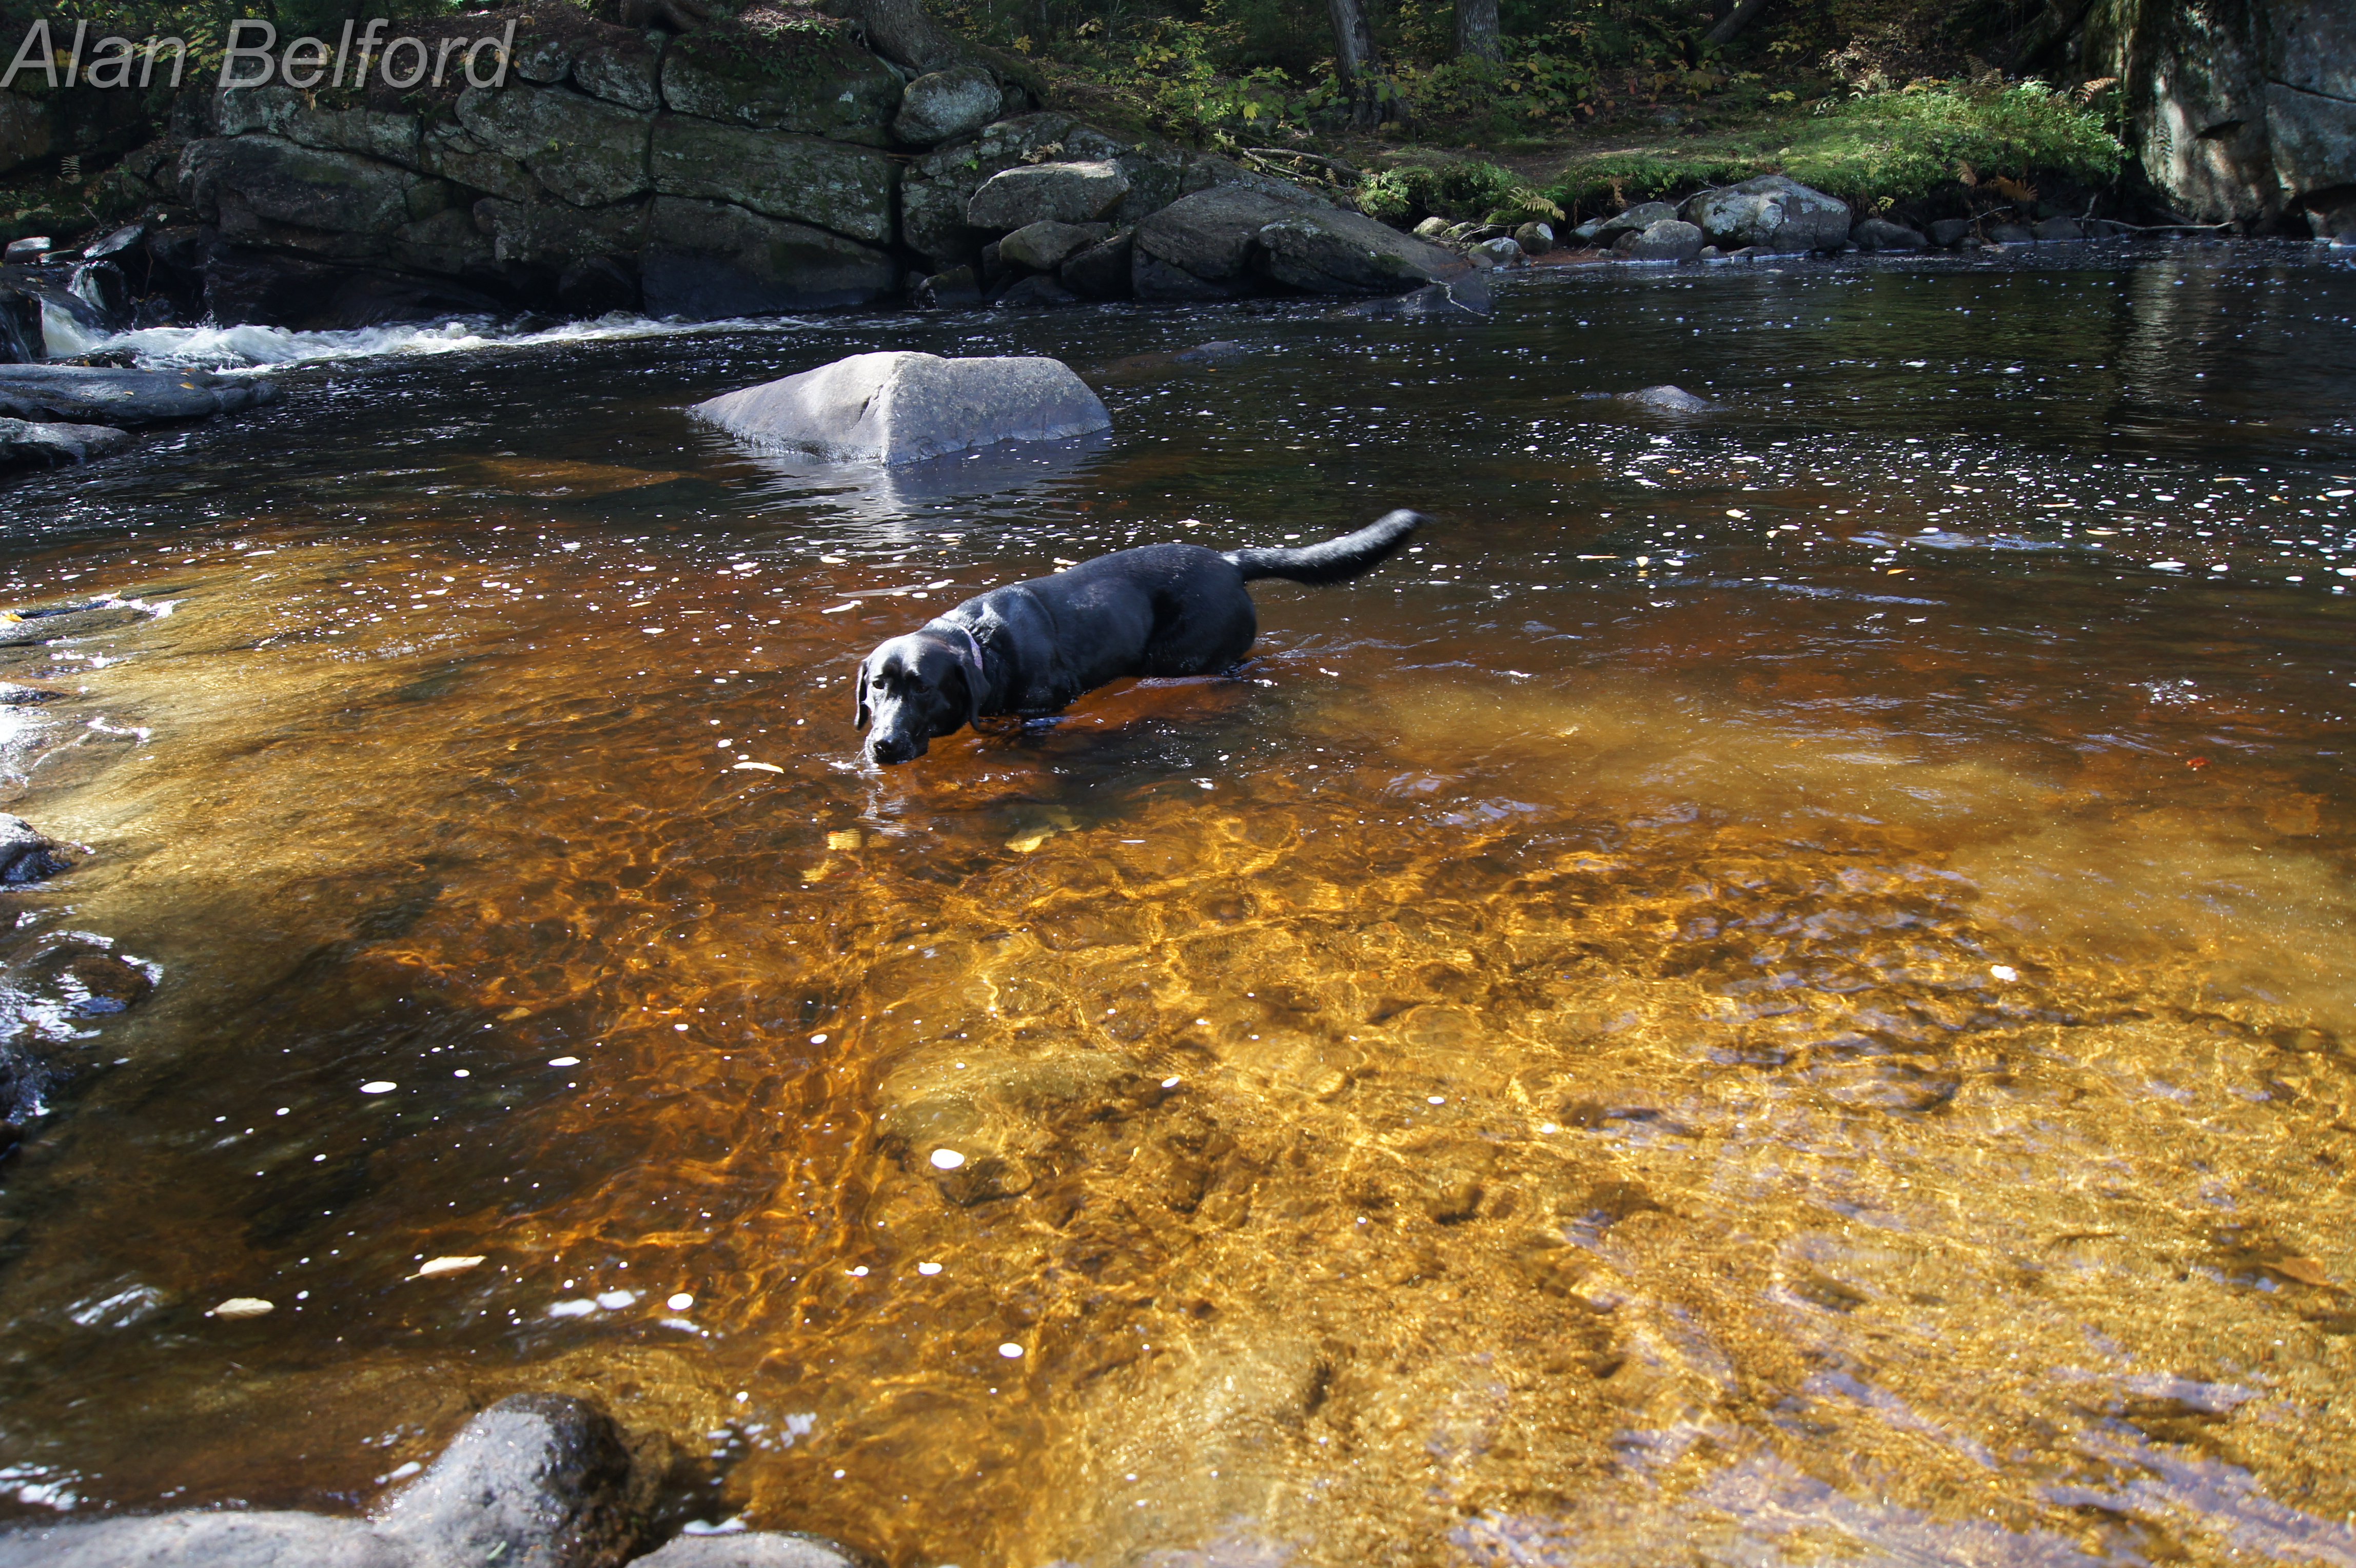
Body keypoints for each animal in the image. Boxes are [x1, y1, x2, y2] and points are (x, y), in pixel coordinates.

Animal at [857, 506, 1423, 762]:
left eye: (924, 687)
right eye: (877, 687)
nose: (882, 745)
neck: (980, 642)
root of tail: (1231, 563)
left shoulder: (1044, 709)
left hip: (1184, 658)